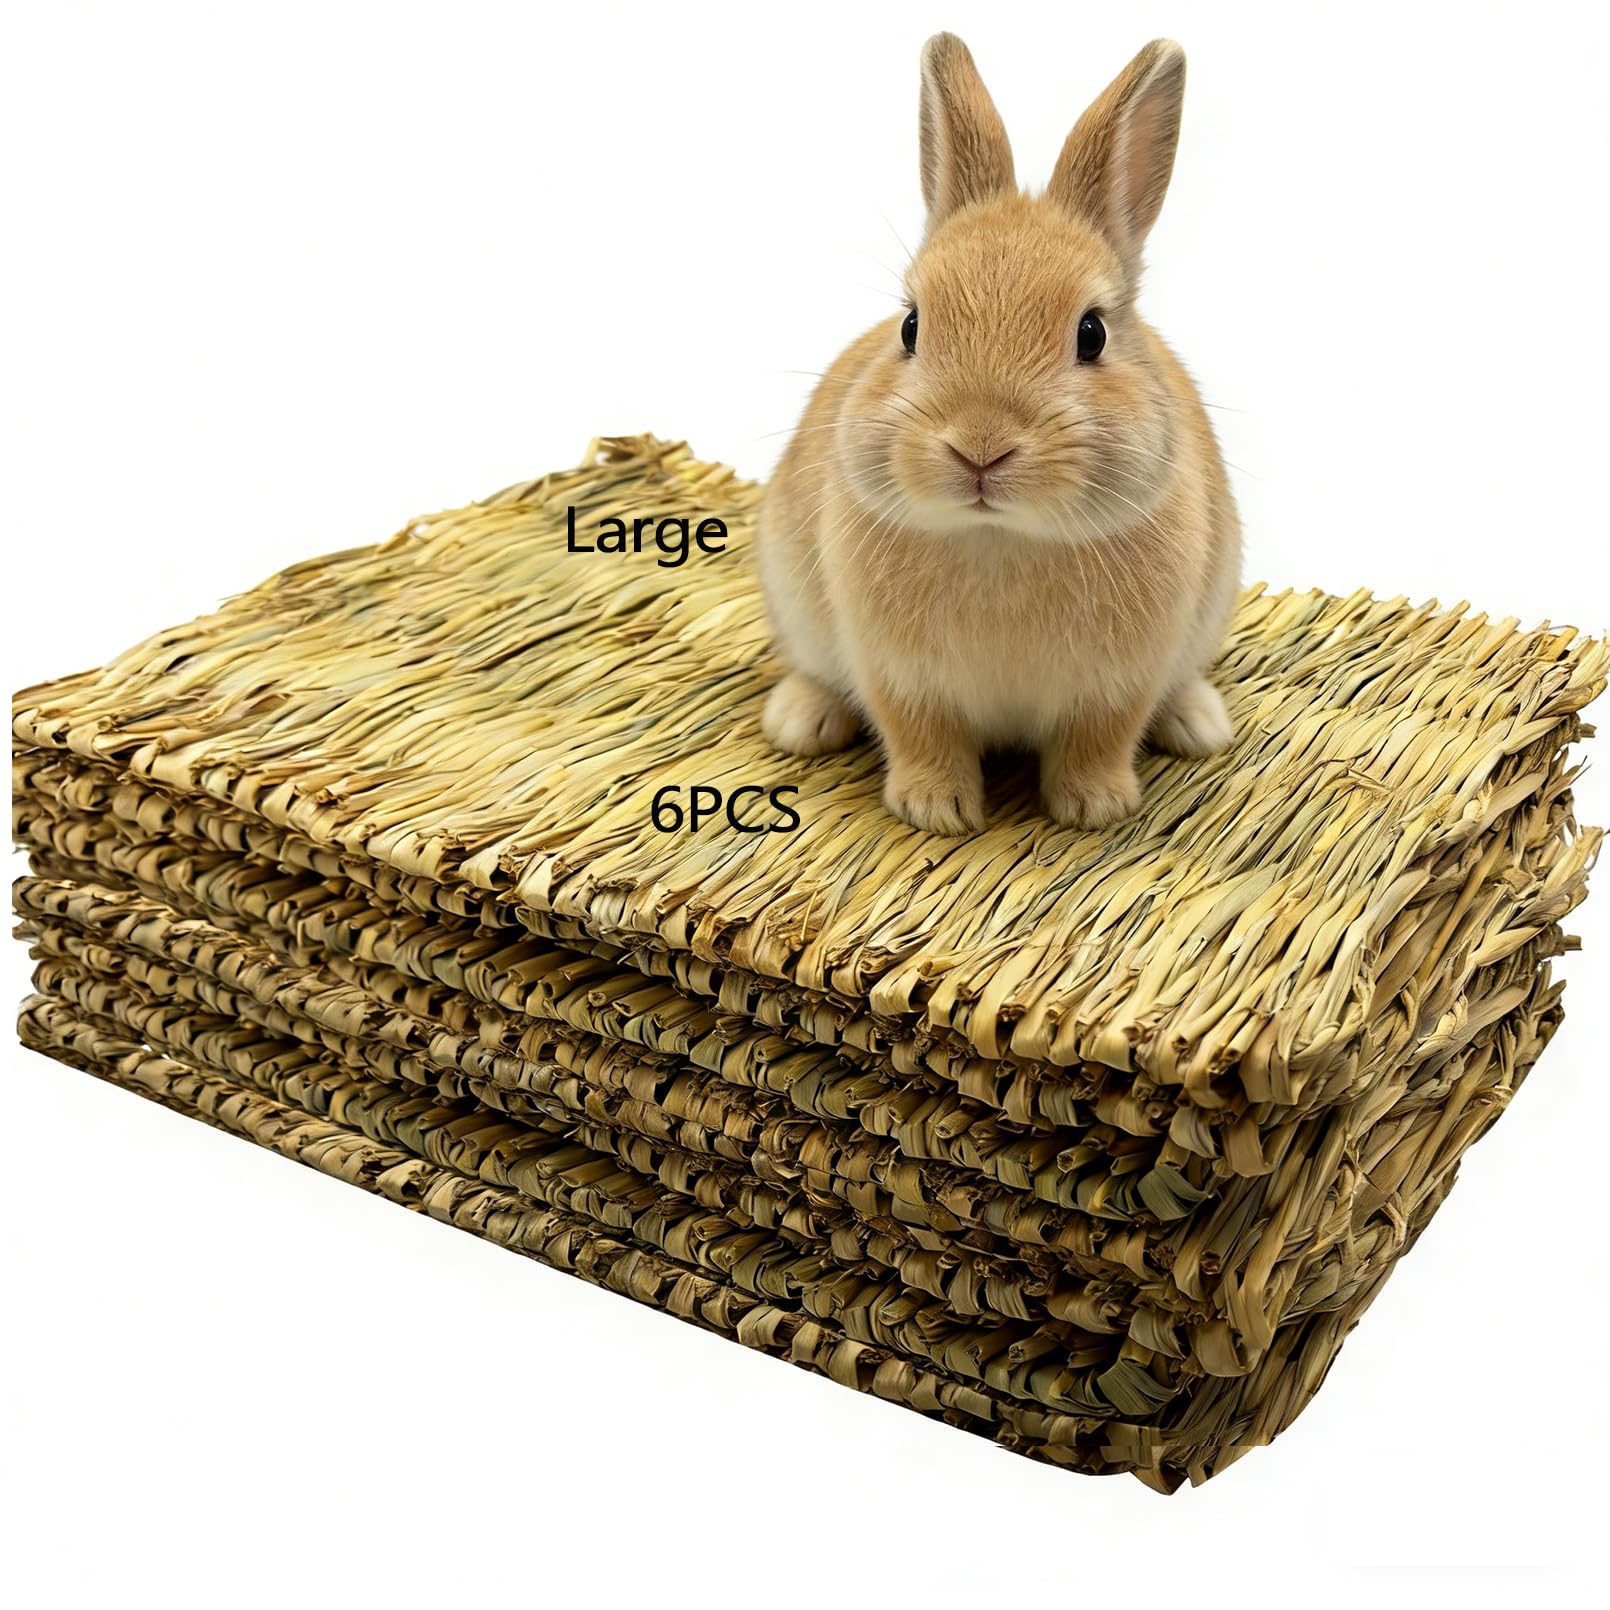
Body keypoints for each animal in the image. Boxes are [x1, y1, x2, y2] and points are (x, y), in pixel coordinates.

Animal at [755, 33, 1241, 835]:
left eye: (1092, 333)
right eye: (910, 326)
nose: (979, 446)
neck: (1000, 536)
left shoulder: (1119, 683)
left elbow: (1100, 738)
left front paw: (1094, 807)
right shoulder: (900, 678)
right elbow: (920, 735)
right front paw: (936, 810)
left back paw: (1199, 723)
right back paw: (800, 721)